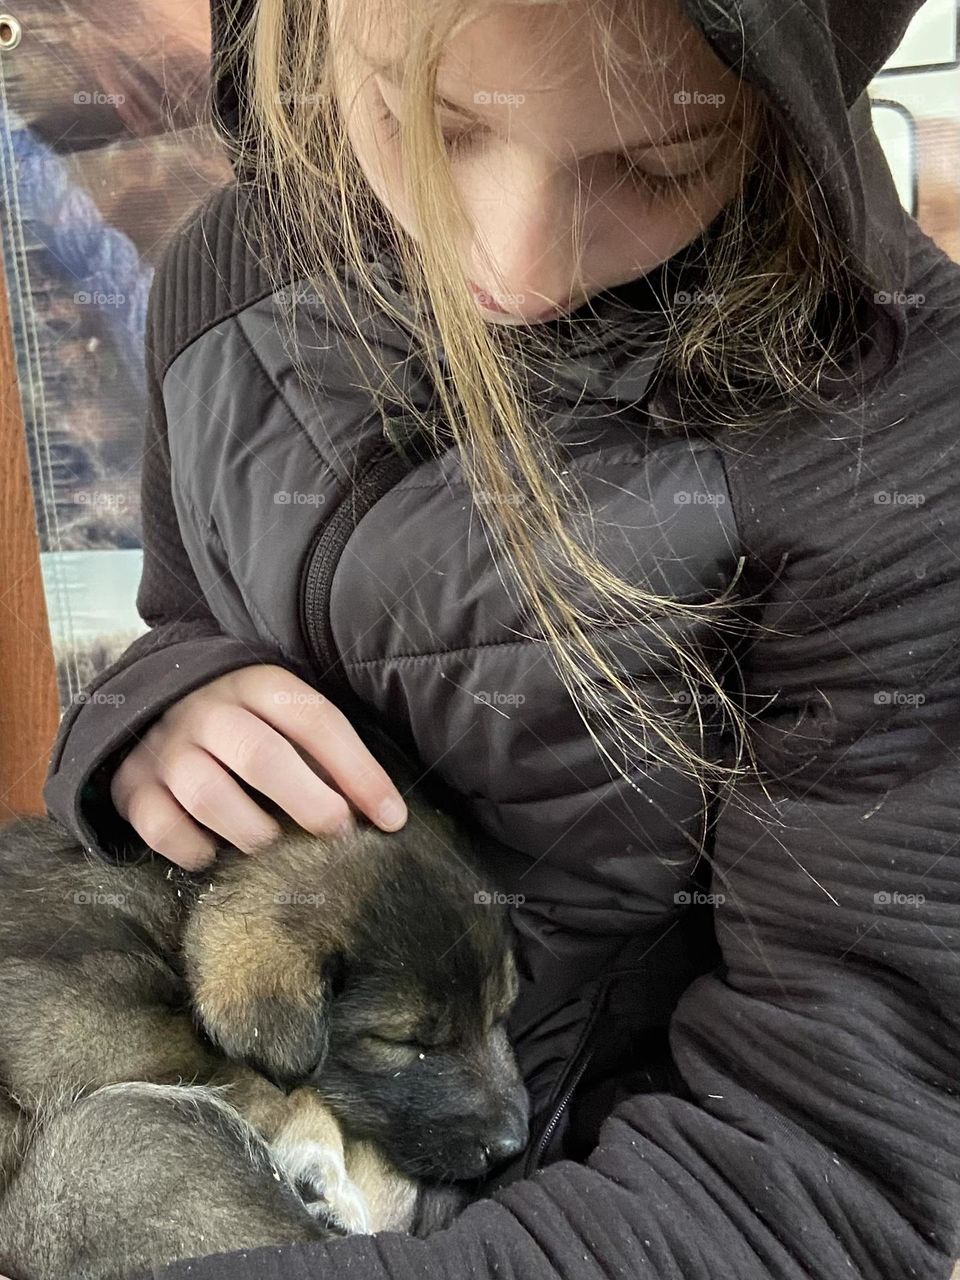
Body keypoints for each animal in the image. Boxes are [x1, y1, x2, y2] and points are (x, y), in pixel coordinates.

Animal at [0, 711, 529, 1280]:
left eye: (502, 1012)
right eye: (401, 1043)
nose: (512, 1145)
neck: (181, 901)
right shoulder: (66, 1022)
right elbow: (249, 1074)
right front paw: (317, 1160)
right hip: (112, 1132)